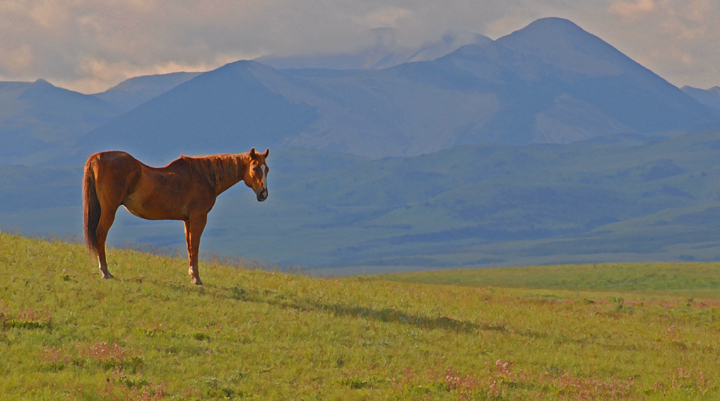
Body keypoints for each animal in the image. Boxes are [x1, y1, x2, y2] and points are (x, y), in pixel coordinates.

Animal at [82, 148, 270, 285]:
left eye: (266, 169)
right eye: (255, 168)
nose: (263, 194)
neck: (205, 177)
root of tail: (97, 157)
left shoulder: (187, 220)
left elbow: (189, 246)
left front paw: (192, 275)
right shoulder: (199, 218)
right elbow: (195, 246)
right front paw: (197, 278)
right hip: (109, 209)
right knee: (100, 234)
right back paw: (105, 271)